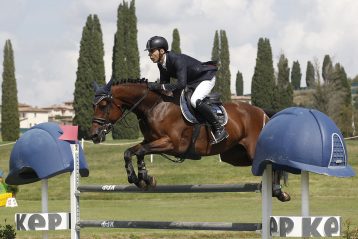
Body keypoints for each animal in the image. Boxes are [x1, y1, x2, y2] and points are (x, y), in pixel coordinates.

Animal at [90, 78, 290, 202]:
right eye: (93, 105)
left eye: (104, 105)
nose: (94, 135)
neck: (154, 106)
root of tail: (262, 112)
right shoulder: (151, 141)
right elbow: (129, 152)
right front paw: (137, 178)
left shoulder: (171, 143)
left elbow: (140, 152)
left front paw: (144, 178)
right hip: (234, 156)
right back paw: (275, 190)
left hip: (252, 150)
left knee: (272, 164)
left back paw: (279, 192)